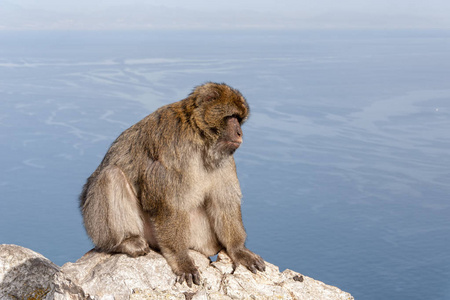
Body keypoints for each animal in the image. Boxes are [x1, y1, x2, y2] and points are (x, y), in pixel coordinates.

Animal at [79, 81, 266, 286]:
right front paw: (182, 259)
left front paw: (238, 249)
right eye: (231, 117)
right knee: (111, 175)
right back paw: (125, 241)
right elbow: (169, 206)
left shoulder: (224, 159)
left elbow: (224, 202)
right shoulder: (174, 149)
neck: (199, 136)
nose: (240, 133)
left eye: (239, 119)